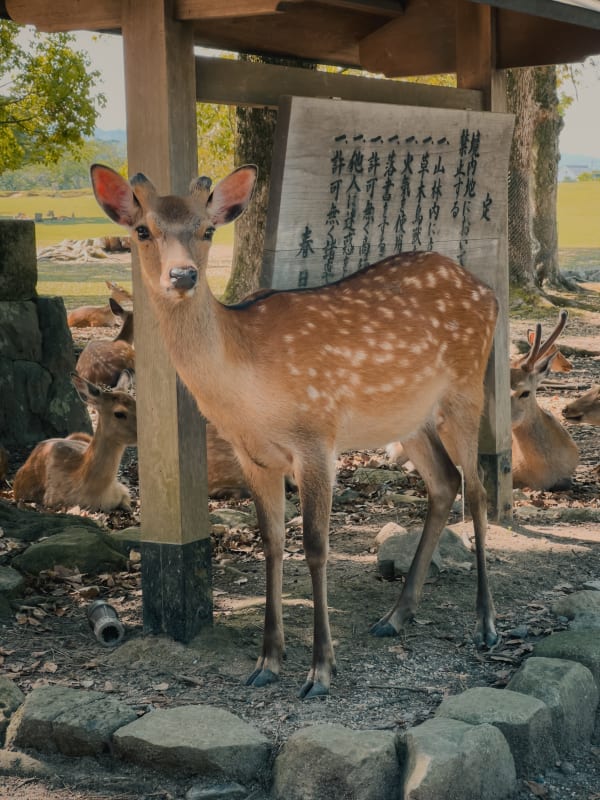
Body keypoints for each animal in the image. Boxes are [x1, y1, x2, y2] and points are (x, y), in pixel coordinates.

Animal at [91, 162, 499, 699]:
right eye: (142, 230)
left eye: (207, 229)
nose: (183, 275)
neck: (247, 389)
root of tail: (488, 292)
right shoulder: (254, 456)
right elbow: (271, 542)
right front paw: (267, 661)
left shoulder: (316, 436)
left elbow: (316, 546)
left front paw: (321, 669)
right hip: (409, 415)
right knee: (445, 481)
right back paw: (394, 616)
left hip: (466, 391)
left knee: (477, 488)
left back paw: (486, 624)